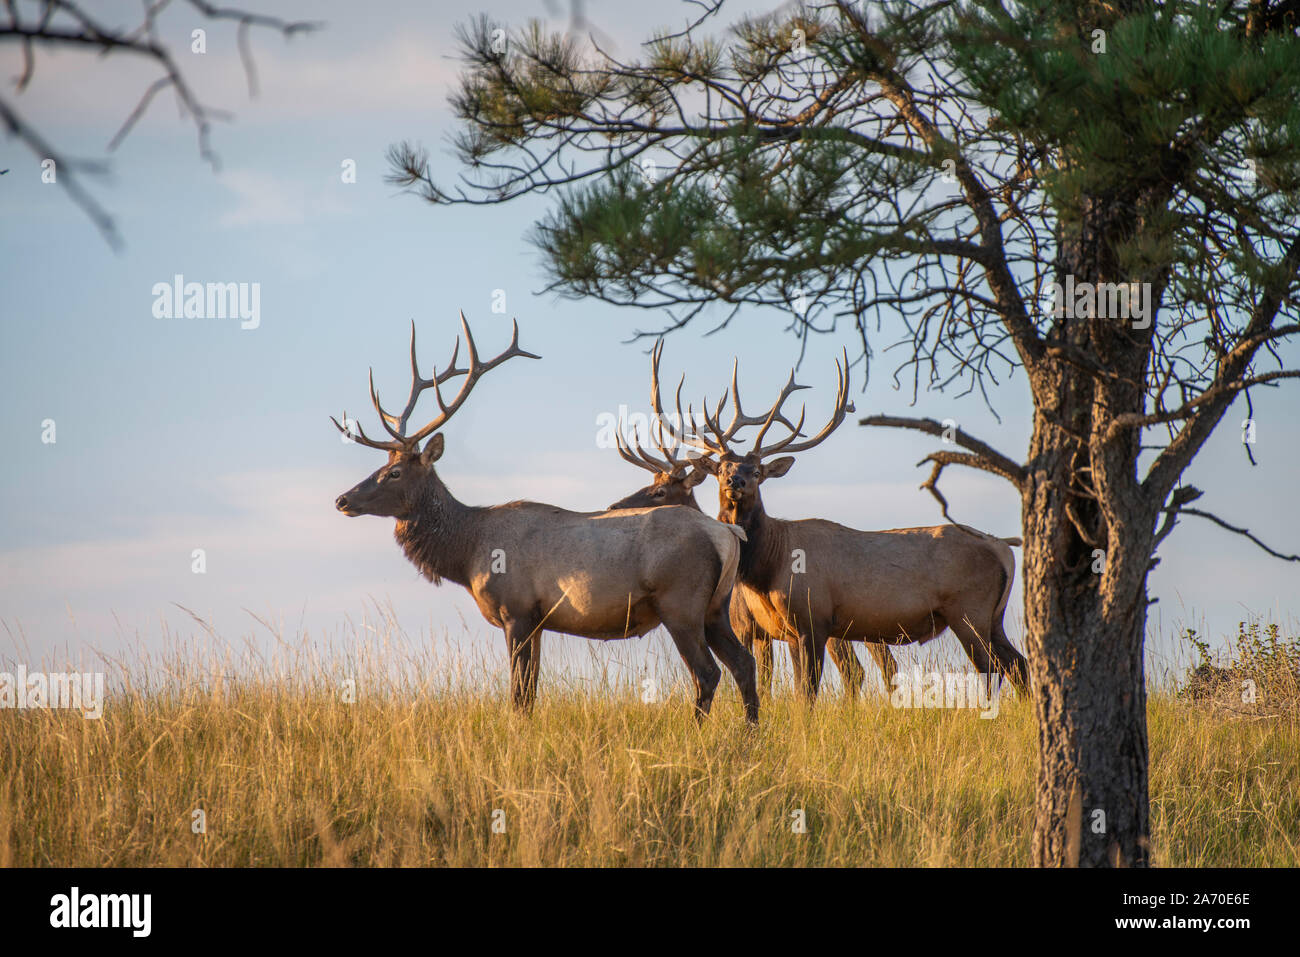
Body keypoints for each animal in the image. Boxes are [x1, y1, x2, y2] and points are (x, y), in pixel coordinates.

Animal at [332, 317, 759, 722]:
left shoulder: (516, 610)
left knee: (707, 673)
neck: (468, 552)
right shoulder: (536, 621)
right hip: (715, 607)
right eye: (382, 466)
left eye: (394, 473)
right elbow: (531, 692)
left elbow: (519, 695)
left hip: (680, 603)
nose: (342, 500)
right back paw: (750, 734)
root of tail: (728, 534)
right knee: (744, 663)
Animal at [605, 343, 899, 696]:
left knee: (866, 667)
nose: (614, 506)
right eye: (722, 469)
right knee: (870, 666)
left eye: (660, 491)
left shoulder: (746, 623)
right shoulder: (763, 630)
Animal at [650, 348, 1024, 702]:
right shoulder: (789, 630)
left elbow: (807, 692)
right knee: (1018, 663)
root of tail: (1003, 549)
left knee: (991, 668)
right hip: (993, 616)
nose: (735, 482)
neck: (769, 566)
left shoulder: (812, 618)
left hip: (969, 609)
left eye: (756, 472)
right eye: (722, 469)